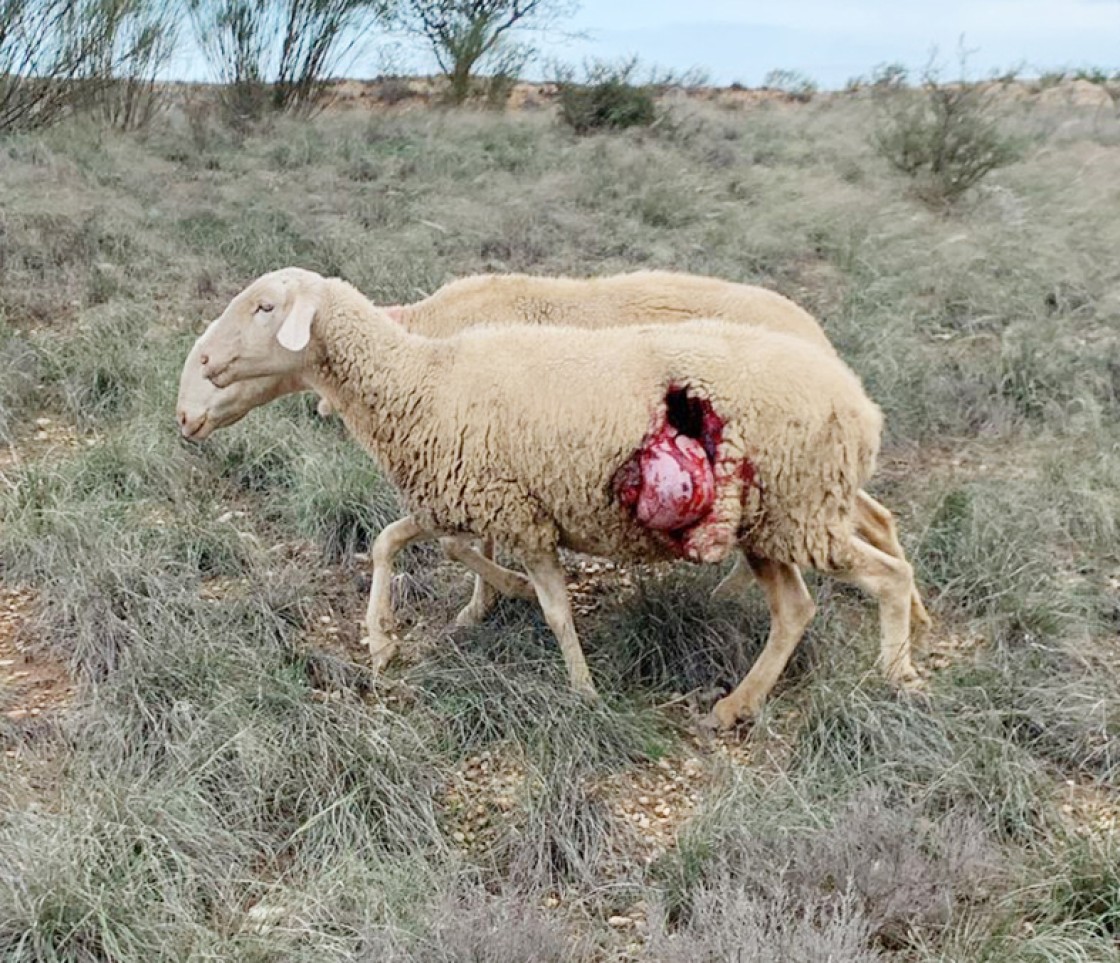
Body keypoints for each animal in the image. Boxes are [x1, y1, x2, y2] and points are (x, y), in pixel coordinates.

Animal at [183, 267, 918, 725]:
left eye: (265, 306)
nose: (190, 400)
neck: (421, 375)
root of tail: (858, 400)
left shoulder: (519, 513)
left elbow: (554, 607)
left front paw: (581, 689)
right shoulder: (461, 494)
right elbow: (391, 543)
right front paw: (385, 638)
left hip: (800, 512)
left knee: (884, 574)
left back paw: (894, 670)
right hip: (776, 523)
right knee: (801, 602)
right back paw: (738, 703)